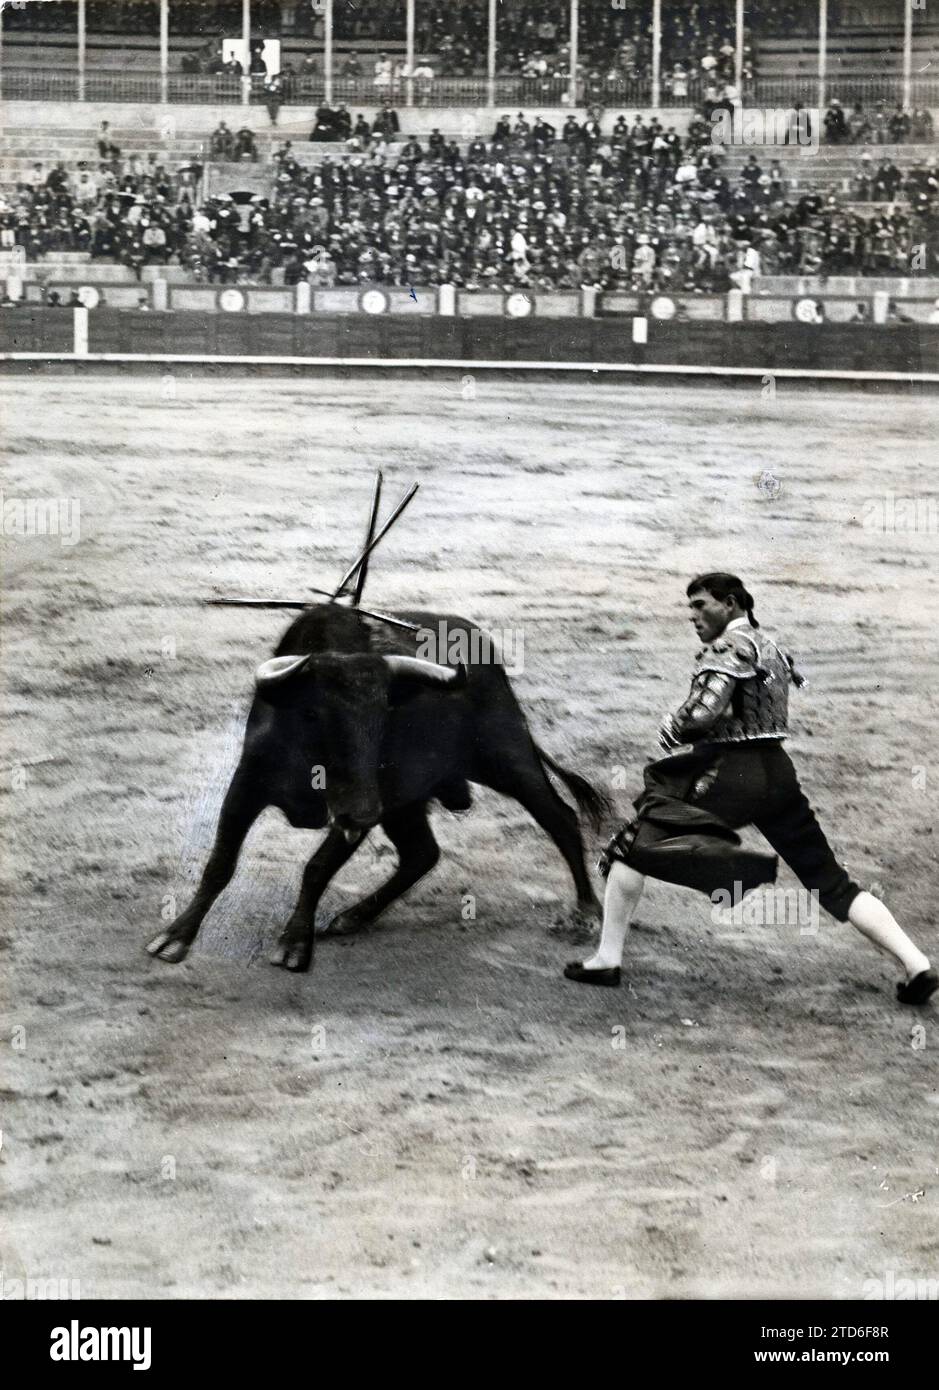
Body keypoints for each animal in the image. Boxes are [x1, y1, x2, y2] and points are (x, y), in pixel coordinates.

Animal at [146, 603, 608, 973]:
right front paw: (175, 937)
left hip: (508, 759)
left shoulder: (359, 805)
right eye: (312, 713)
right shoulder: (247, 786)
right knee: (422, 853)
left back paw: (587, 912)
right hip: (407, 803)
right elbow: (220, 862)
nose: (365, 811)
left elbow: (316, 868)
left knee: (560, 818)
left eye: (384, 712)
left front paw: (294, 943)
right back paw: (354, 916)